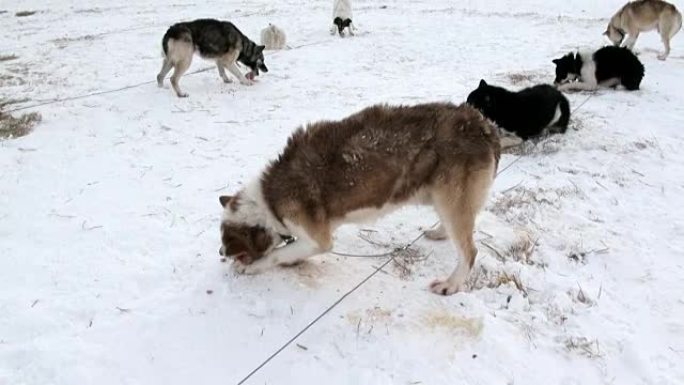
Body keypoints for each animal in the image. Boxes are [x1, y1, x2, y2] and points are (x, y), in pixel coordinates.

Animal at [219, 101, 502, 294]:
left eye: (228, 241)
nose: (221, 252)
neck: (269, 199)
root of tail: (484, 125)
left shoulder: (318, 239)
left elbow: (279, 254)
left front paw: (253, 266)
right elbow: (290, 251)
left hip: (450, 200)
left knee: (469, 251)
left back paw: (451, 284)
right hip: (439, 196)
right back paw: (440, 233)